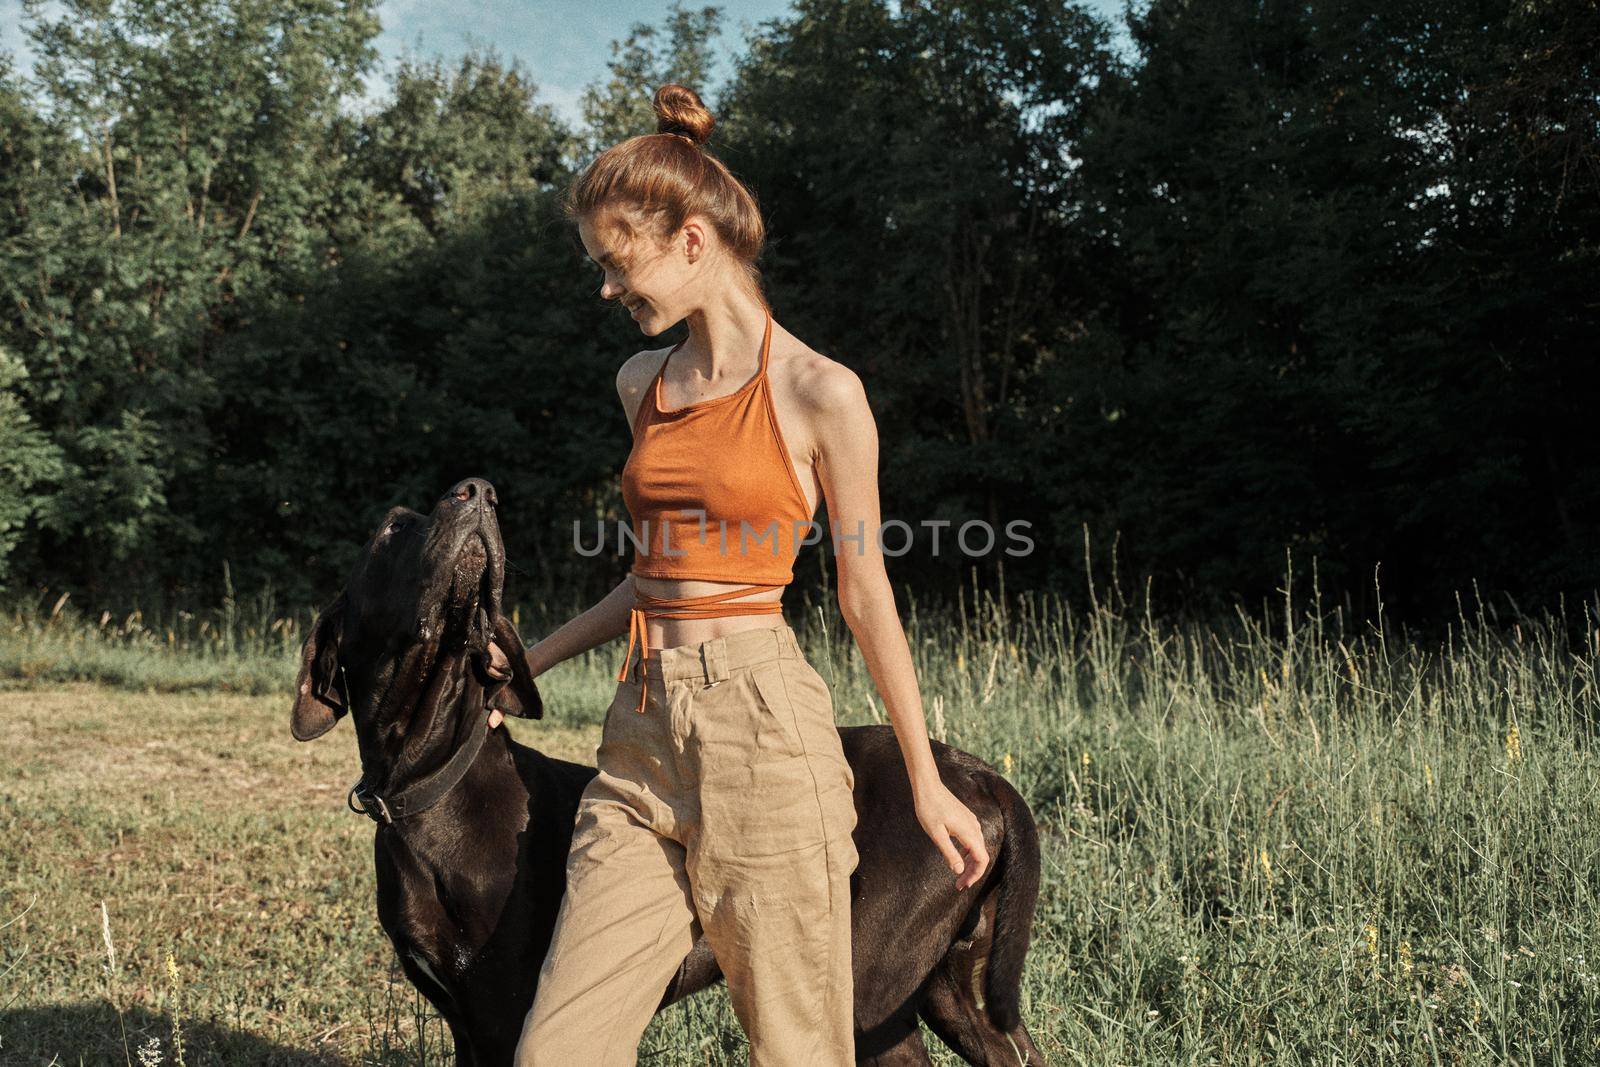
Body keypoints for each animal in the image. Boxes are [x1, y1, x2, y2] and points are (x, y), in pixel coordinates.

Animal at [291, 479, 1049, 1062]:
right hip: (952, 986)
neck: (429, 784)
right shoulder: (467, 1021)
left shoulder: (505, 1015)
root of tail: (974, 774)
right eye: (392, 528)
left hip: (869, 990)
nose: (476, 492)